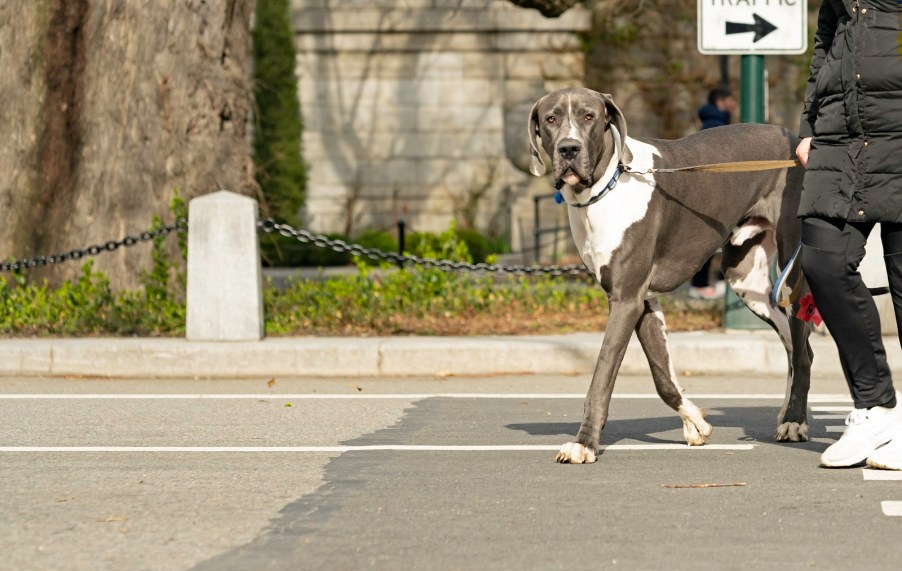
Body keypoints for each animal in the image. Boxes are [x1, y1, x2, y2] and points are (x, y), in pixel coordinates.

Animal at [528, 88, 820, 464]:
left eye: (588, 116)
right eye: (550, 118)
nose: (568, 149)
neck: (606, 187)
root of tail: (796, 140)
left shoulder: (626, 300)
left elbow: (602, 375)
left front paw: (584, 443)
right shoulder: (643, 301)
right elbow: (662, 376)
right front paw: (695, 422)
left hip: (792, 270)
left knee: (801, 350)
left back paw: (795, 420)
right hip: (747, 281)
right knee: (796, 345)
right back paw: (786, 414)